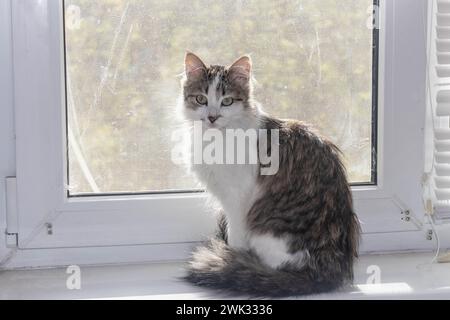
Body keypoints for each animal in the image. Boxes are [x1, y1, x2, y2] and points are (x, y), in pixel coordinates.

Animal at [181, 52, 360, 298]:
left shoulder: (237, 200)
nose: (212, 117)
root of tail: (330, 269)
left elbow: (235, 240)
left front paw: (230, 258)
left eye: (227, 101)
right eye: (201, 99)